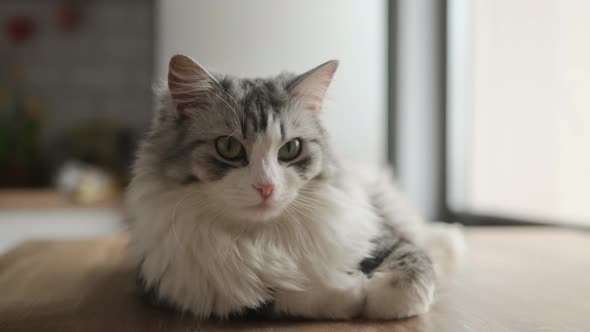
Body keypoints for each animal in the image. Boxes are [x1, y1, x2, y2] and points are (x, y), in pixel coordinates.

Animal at [127, 54, 464, 320]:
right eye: (228, 147)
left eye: (290, 149)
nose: (266, 187)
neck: (262, 235)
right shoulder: (186, 290)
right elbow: (279, 295)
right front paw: (351, 291)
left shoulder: (383, 237)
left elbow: (409, 271)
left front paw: (381, 299)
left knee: (422, 233)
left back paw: (451, 239)